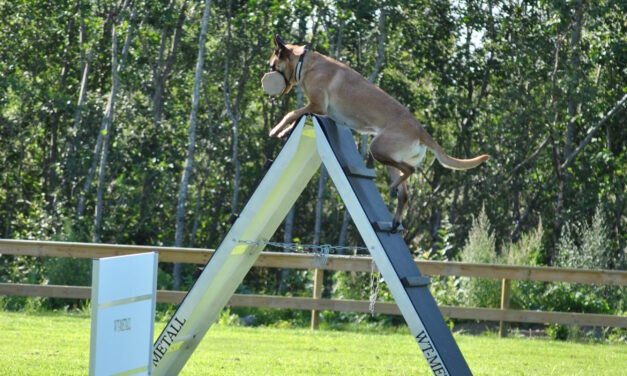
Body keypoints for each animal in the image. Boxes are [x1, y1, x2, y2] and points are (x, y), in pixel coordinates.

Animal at [268, 34, 488, 229]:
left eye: (271, 65)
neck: (304, 62)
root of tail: (420, 131)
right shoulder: (316, 109)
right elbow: (297, 116)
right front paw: (284, 132)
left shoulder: (317, 105)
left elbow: (290, 113)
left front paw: (276, 130)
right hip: (389, 158)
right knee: (405, 191)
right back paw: (395, 221)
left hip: (377, 148)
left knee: (410, 171)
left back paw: (392, 190)